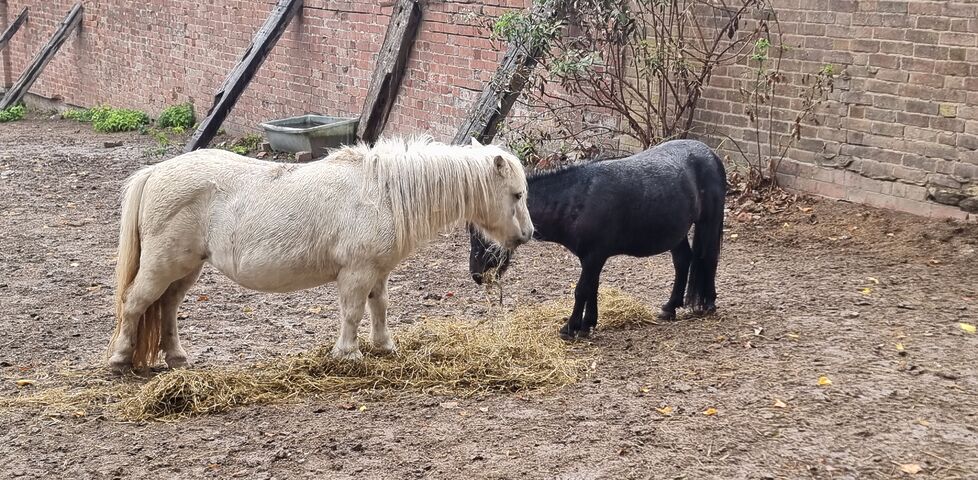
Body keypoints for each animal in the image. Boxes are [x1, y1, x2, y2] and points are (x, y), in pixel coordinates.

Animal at [108, 137, 534, 373]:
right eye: (517, 194)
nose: (528, 235)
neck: (384, 193)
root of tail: (155, 173)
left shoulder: (378, 273)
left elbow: (379, 308)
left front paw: (384, 346)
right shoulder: (357, 273)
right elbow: (353, 312)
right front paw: (348, 354)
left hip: (185, 271)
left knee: (166, 308)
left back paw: (177, 358)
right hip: (164, 266)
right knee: (135, 303)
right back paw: (121, 359)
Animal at [468, 139, 726, 339]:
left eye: (482, 233)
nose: (477, 274)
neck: (579, 199)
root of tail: (711, 154)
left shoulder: (594, 256)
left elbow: (582, 289)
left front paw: (571, 328)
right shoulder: (590, 259)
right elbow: (592, 287)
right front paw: (587, 324)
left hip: (709, 222)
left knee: (709, 259)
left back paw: (709, 303)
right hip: (676, 233)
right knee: (683, 261)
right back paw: (670, 307)